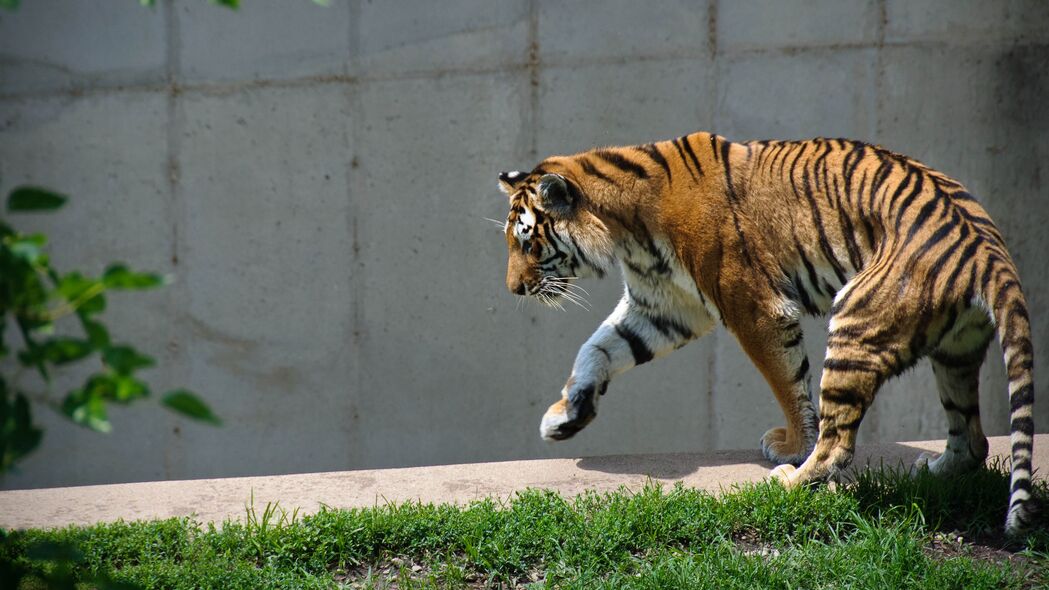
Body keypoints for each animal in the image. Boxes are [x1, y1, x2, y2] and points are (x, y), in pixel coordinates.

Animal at [497, 132, 1032, 533]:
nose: (513, 289)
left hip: (857, 325)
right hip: (954, 352)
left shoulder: (752, 307)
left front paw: (793, 443)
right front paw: (566, 416)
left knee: (838, 444)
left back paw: (788, 481)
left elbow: (786, 381)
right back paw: (937, 470)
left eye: (528, 242)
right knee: (973, 439)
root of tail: (987, 247)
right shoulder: (664, 308)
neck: (626, 229)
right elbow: (598, 349)